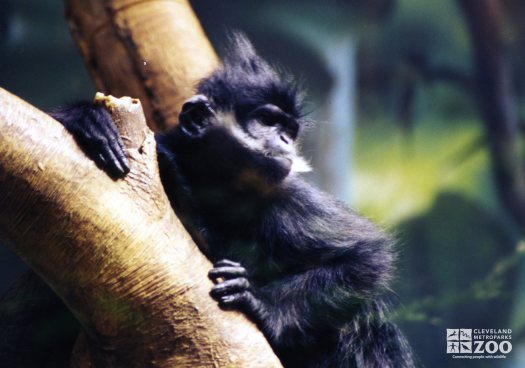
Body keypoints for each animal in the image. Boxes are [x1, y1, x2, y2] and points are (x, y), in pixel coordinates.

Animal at [51, 34, 416, 368]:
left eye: (289, 131)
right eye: (268, 121)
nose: (285, 140)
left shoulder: (286, 197)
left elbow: (367, 256)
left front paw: (260, 303)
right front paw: (86, 119)